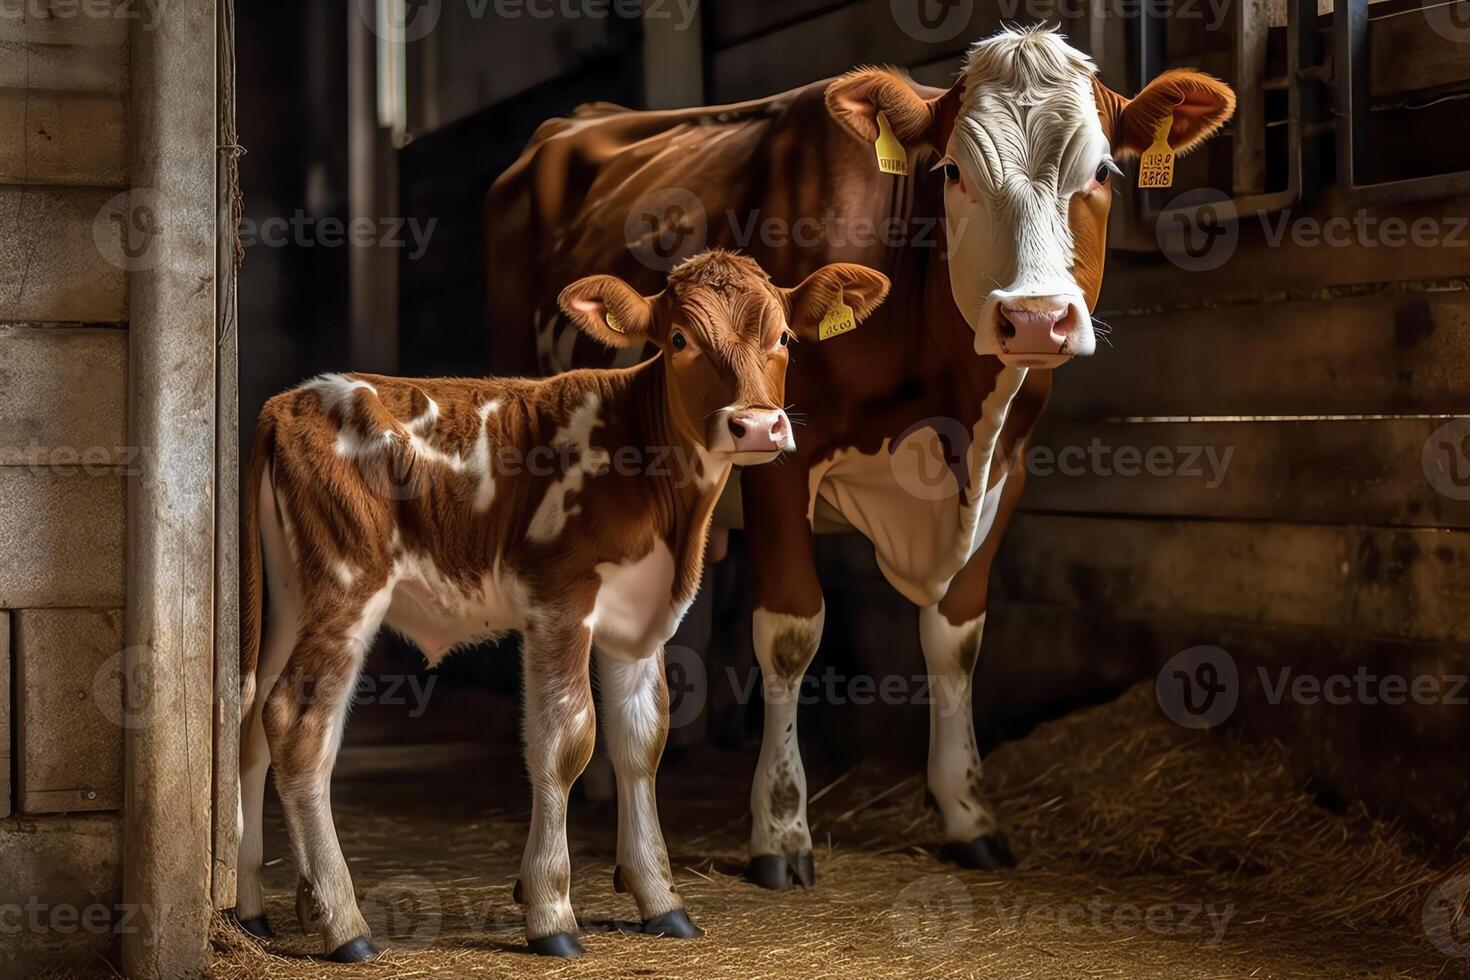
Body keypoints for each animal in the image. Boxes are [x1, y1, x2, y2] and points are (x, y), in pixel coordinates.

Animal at [232, 249, 893, 963]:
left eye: (785, 338)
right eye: (679, 339)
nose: (757, 425)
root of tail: (292, 399)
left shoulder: (639, 618)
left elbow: (642, 741)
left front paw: (661, 899)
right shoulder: (559, 600)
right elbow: (566, 740)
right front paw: (551, 911)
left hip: (290, 599)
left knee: (249, 722)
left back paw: (253, 910)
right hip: (347, 584)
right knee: (298, 725)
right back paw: (343, 924)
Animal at [488, 26, 1234, 893]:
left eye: (1105, 173)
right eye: (952, 172)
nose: (1034, 320)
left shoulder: (1009, 463)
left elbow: (956, 637)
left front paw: (968, 815)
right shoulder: (781, 452)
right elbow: (790, 632)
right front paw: (781, 830)